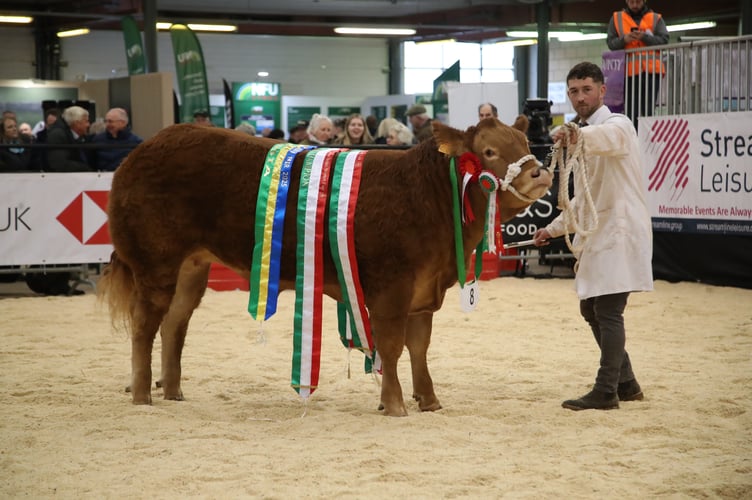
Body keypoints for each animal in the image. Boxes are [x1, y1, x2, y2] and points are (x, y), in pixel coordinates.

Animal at [99, 117, 553, 416]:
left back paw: (173, 390)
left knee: (175, 323)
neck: (426, 195)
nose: (540, 171)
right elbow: (391, 345)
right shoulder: (392, 287)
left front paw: (429, 400)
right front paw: (394, 404)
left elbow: (419, 347)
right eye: (489, 151)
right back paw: (142, 395)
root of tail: (143, 150)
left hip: (192, 267)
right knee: (145, 326)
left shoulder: (425, 290)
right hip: (155, 263)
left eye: (524, 141)